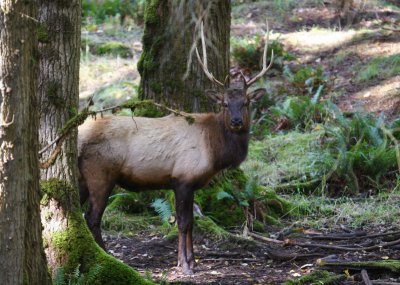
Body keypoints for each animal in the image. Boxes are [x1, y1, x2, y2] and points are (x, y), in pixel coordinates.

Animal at [78, 21, 272, 274]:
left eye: (246, 103)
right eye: (224, 104)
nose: (237, 121)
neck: (215, 151)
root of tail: (79, 135)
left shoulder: (191, 183)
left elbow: (192, 222)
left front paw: (193, 260)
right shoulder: (182, 178)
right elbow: (183, 222)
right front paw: (184, 264)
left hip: (82, 177)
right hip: (100, 174)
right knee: (92, 217)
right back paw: (109, 258)